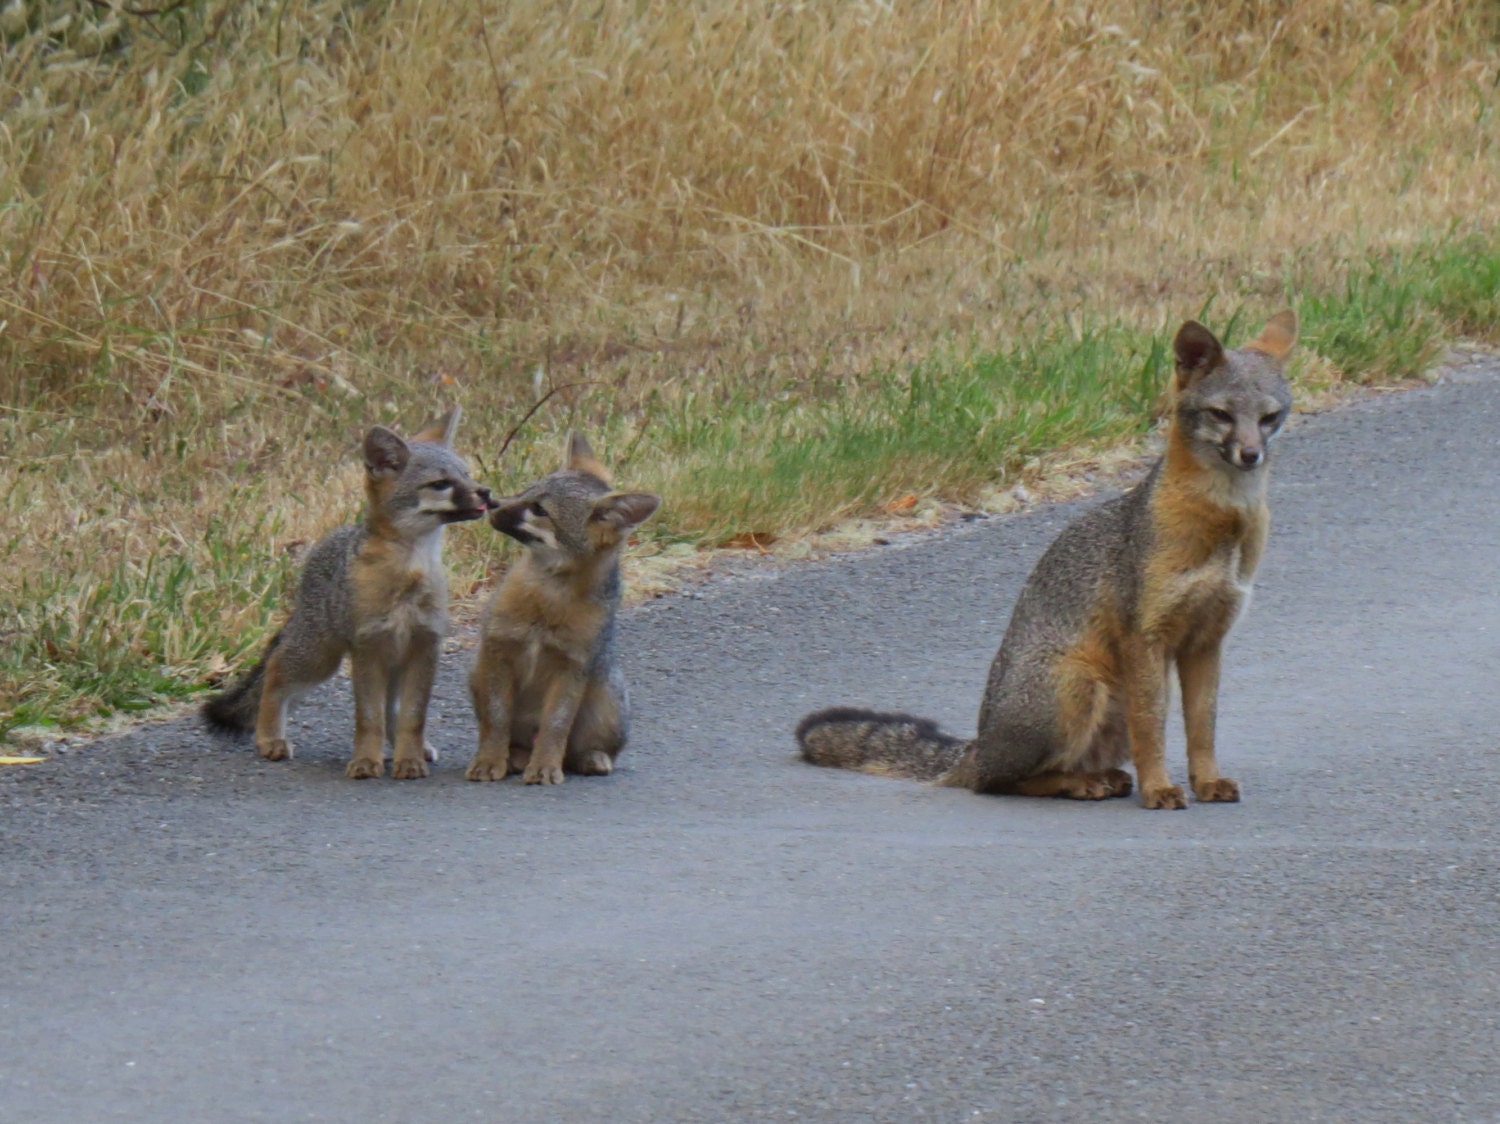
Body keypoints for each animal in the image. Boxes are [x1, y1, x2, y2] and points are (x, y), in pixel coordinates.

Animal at [202, 407, 492, 779]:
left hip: (389, 663)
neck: (410, 570)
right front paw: (366, 760)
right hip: (320, 657)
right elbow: (367, 718)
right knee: (276, 670)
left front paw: (408, 759)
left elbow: (412, 718)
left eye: (467, 475)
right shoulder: (367, 647)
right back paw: (269, 739)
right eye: (441, 484)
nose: (486, 492)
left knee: (391, 709)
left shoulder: (425, 645)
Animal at [466, 432, 660, 785]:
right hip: (476, 674)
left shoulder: (572, 667)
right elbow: (496, 720)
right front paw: (489, 761)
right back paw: (515, 758)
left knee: (575, 750)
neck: (546, 601)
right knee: (515, 739)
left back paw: (589, 758)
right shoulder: (498, 651)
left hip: (605, 699)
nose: (491, 499)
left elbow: (556, 726)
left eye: (539, 509)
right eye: (529, 488)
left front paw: (544, 767)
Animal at [797, 310, 1298, 809]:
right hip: (1078, 685)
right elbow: (1151, 729)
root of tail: (979, 745)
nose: (1251, 454)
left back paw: (1099, 777)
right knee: (999, 781)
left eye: (1269, 417)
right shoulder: (1145, 637)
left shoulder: (1206, 641)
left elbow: (1202, 728)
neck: (1223, 529)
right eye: (1221, 414)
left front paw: (1206, 781)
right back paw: (1080, 783)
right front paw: (1158, 788)